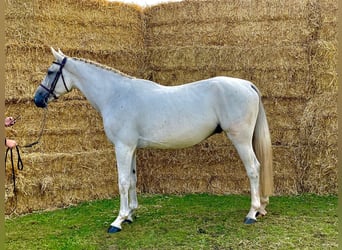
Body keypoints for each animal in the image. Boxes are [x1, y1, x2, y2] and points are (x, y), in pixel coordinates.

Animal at [32, 47, 272, 233]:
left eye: (50, 71)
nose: (37, 99)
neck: (116, 95)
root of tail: (247, 85)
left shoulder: (122, 147)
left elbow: (122, 182)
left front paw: (118, 221)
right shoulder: (131, 148)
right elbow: (133, 179)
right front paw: (130, 215)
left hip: (240, 139)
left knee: (253, 169)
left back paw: (251, 213)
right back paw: (260, 209)